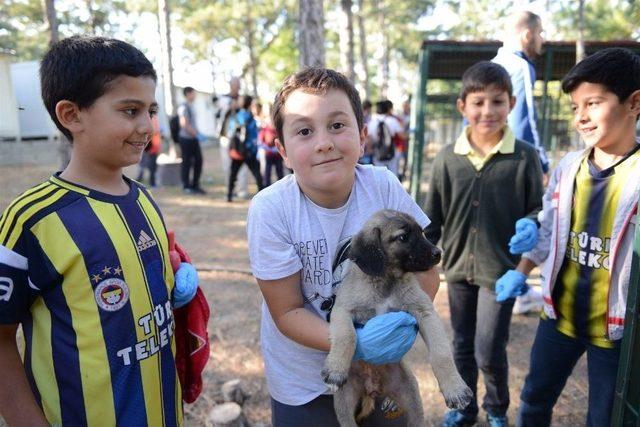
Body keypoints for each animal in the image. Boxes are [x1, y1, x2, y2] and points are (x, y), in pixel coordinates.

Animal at [322, 209, 472, 426]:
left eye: (421, 232)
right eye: (403, 237)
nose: (438, 253)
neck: (387, 281)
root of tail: (372, 387)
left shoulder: (425, 312)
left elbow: (441, 353)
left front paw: (455, 389)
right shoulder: (342, 310)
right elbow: (347, 337)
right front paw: (335, 370)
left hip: (411, 397)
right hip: (344, 403)